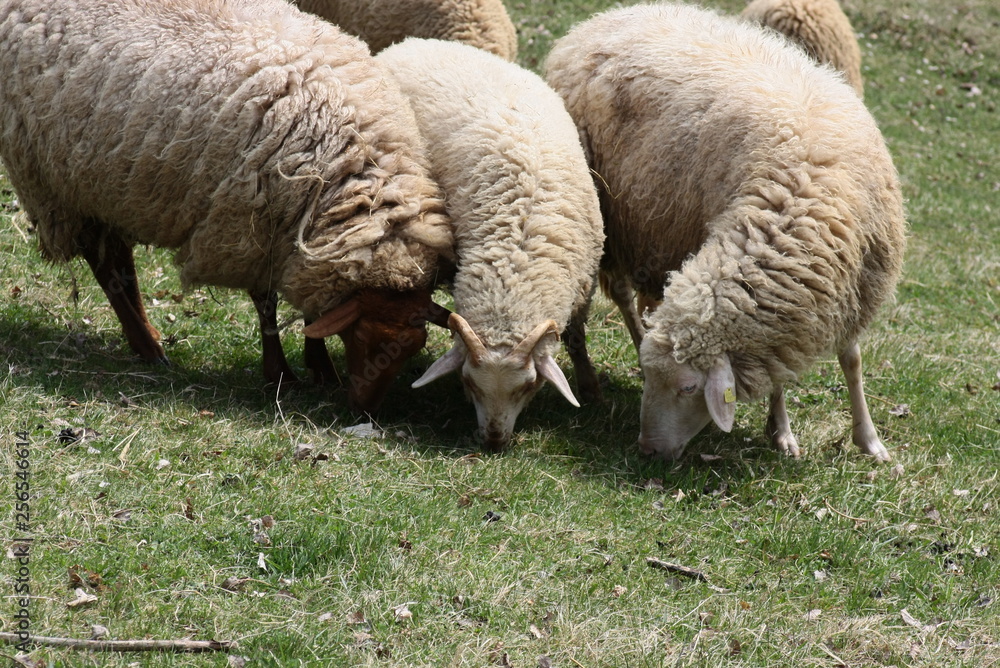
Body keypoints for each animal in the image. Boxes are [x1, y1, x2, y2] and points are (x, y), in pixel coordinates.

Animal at [0, 0, 454, 413]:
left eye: (414, 348)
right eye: (362, 337)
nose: (365, 410)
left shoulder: (305, 238)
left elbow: (314, 308)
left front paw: (321, 368)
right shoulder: (249, 230)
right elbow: (266, 304)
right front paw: (281, 374)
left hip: (107, 189)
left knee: (118, 262)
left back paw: (148, 337)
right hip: (58, 186)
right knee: (104, 264)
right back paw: (148, 347)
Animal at [376, 38, 605, 450]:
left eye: (529, 386)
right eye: (468, 382)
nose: (494, 442)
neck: (518, 253)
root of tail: (412, 42)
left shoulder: (584, 282)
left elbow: (577, 338)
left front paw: (591, 388)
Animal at [545, 3, 906, 461]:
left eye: (688, 388)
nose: (647, 450)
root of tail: (599, 22)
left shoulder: (852, 286)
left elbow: (852, 360)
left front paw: (869, 440)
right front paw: (782, 429)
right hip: (603, 215)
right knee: (611, 295)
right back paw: (592, 381)